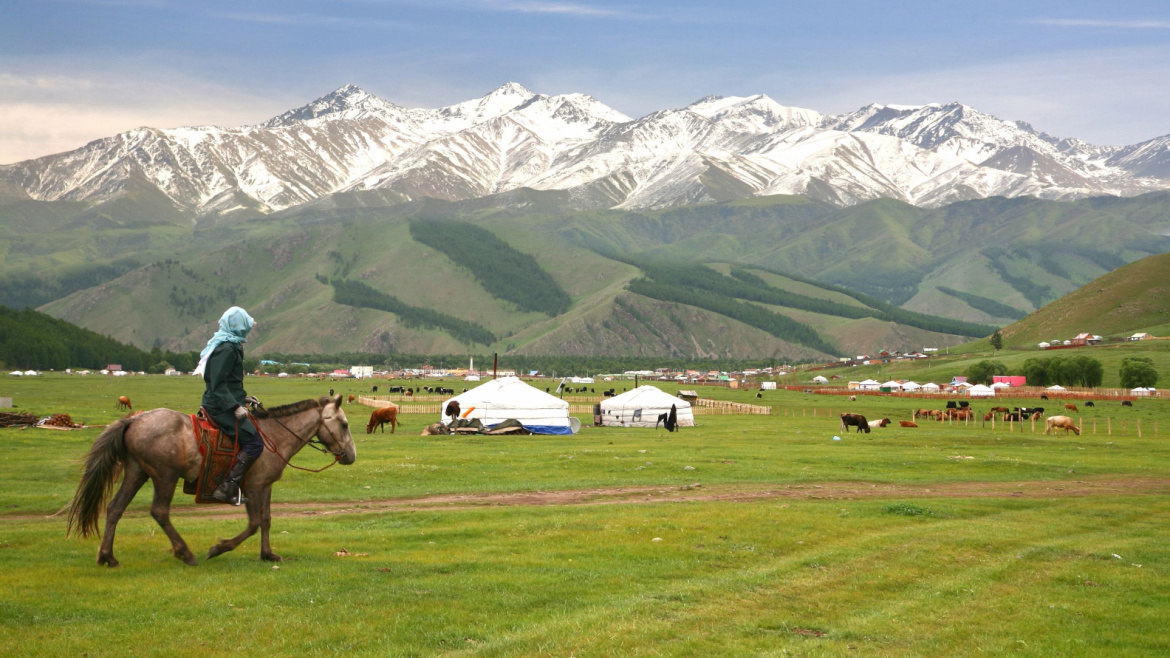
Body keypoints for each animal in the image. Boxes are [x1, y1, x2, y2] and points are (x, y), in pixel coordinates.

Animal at [65, 393, 351, 564]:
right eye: (345, 424)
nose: (351, 456)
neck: (273, 436)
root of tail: (133, 421)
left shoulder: (264, 486)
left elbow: (266, 520)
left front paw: (268, 554)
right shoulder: (253, 486)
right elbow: (254, 523)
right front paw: (219, 548)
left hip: (137, 473)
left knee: (115, 508)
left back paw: (107, 556)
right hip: (165, 476)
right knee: (159, 511)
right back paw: (185, 553)